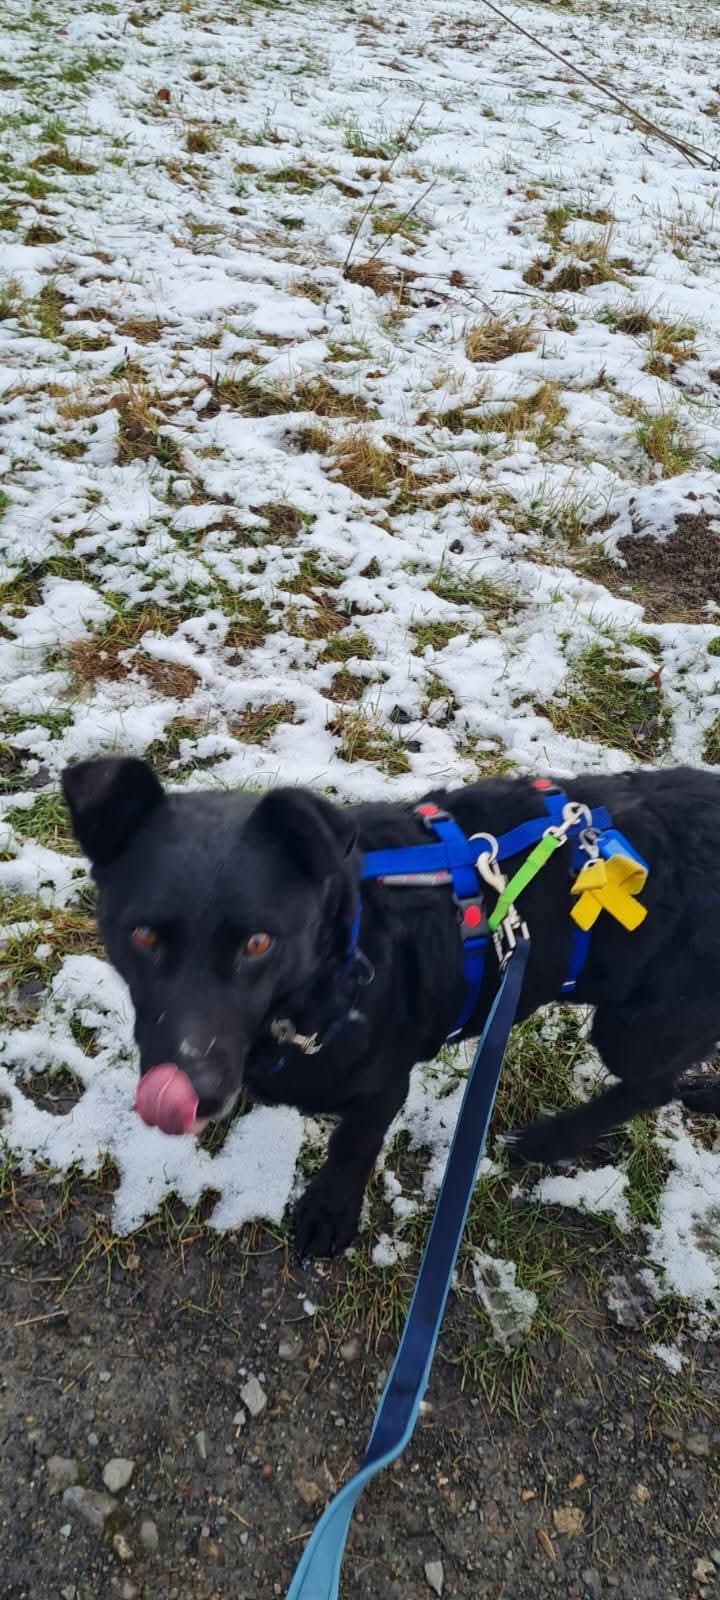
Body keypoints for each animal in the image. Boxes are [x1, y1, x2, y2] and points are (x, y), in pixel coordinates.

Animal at [61, 757, 720, 1260]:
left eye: (258, 943)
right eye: (143, 935)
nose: (193, 1090)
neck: (341, 956)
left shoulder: (383, 1089)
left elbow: (351, 1148)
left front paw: (329, 1214)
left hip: (636, 1027)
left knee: (651, 1086)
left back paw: (550, 1140)